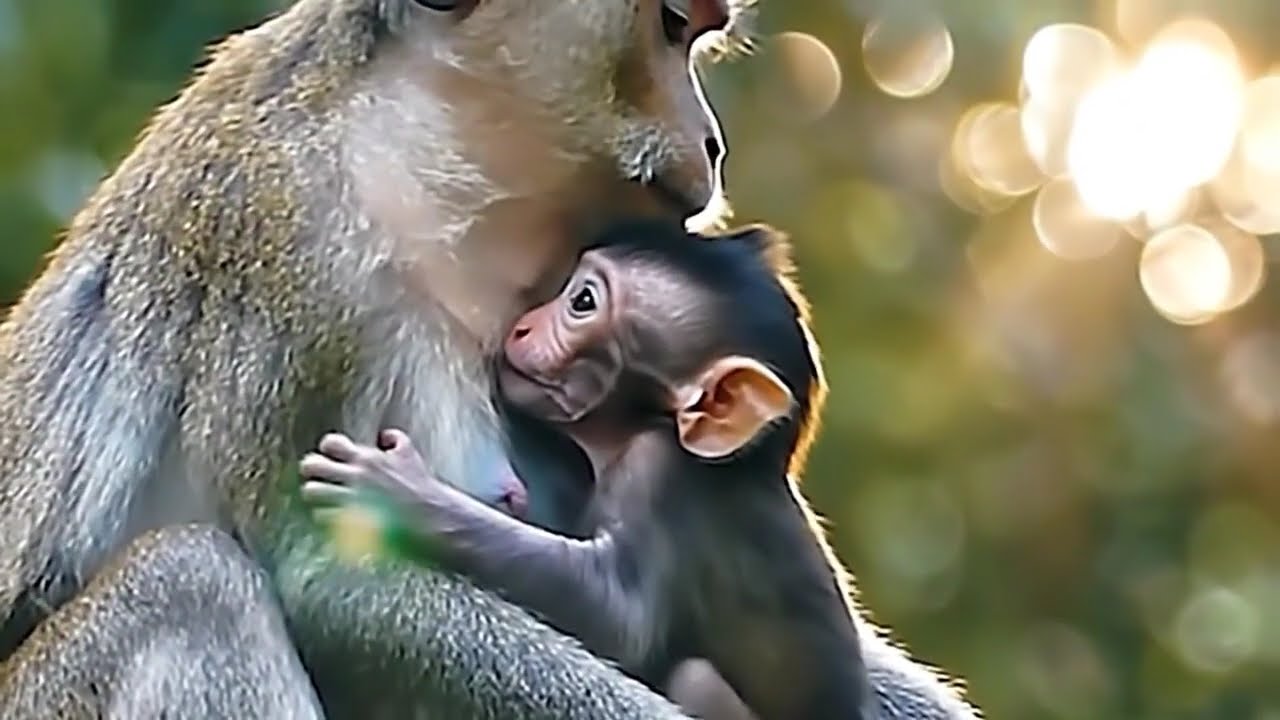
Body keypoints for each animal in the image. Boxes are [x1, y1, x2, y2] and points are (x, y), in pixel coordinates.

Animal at [0, 0, 756, 717]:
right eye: (672, 25)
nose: (714, 144)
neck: (394, 156)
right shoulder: (299, 258)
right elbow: (326, 578)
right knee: (191, 584)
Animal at [298, 220, 875, 720]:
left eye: (582, 302)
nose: (522, 325)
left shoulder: (660, 474)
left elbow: (617, 614)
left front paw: (400, 494)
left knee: (694, 677)